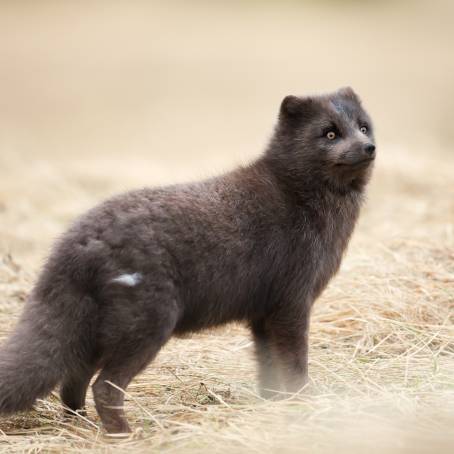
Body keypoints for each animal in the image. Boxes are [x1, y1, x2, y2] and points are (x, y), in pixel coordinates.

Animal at [0, 86, 376, 432]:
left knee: (72, 382)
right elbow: (295, 365)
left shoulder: (262, 314)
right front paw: (305, 406)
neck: (303, 199)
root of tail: (75, 244)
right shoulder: (292, 303)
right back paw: (126, 435)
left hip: (94, 332)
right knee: (103, 387)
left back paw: (82, 426)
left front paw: (272, 406)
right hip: (148, 323)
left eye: (363, 127)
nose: (369, 147)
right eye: (329, 133)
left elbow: (267, 368)